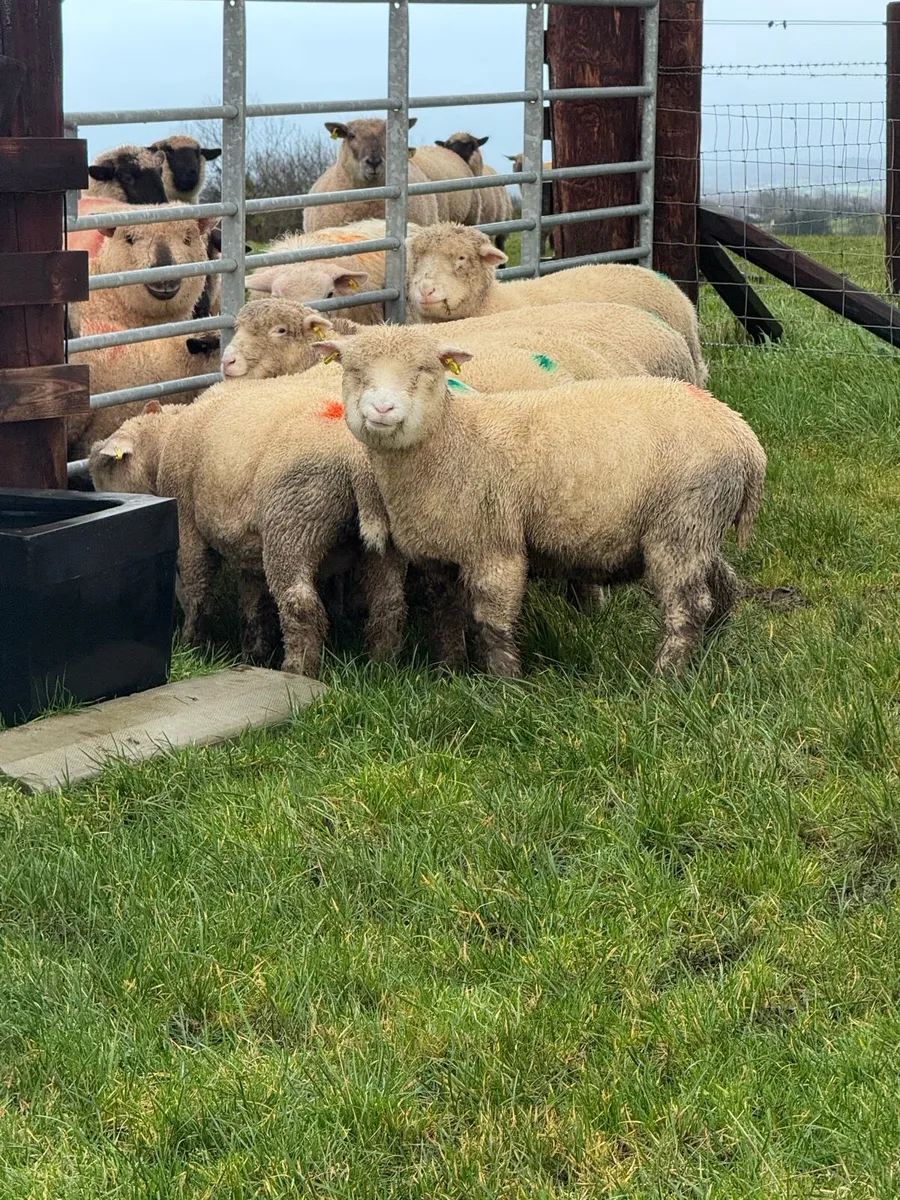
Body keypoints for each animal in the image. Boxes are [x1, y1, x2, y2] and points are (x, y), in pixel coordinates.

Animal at [88, 386, 405, 678]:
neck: (163, 443)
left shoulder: (188, 524)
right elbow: (253, 599)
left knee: (299, 601)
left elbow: (195, 586)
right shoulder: (245, 543)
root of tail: (357, 459)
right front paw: (253, 650)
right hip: (383, 536)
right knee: (389, 600)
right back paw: (382, 664)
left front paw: (192, 643)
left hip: (293, 523)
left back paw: (298, 668)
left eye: (104, 468)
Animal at [312, 323, 766, 677]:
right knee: (720, 585)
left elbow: (493, 623)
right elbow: (446, 616)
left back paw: (666, 677)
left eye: (425, 369)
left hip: (681, 523)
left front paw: (504, 685)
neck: (452, 439)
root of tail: (745, 440)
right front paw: (449, 673)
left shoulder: (494, 545)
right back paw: (712, 647)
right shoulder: (443, 553)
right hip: (697, 523)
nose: (382, 408)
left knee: (687, 606)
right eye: (352, 370)